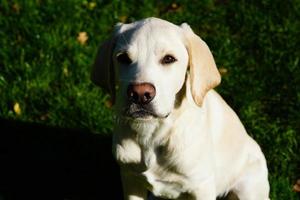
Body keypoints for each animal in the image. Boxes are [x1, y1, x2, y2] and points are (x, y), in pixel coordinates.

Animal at [91, 17, 270, 200]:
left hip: (247, 189)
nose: (140, 94)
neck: (152, 133)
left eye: (169, 59)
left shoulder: (202, 186)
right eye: (123, 58)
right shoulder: (130, 178)